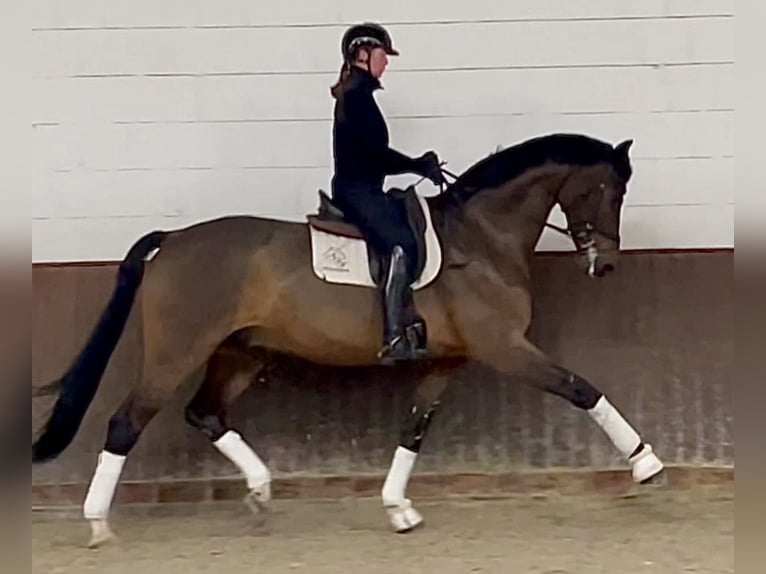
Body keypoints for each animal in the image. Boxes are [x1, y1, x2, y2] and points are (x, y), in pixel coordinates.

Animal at [31, 132, 664, 548]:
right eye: (606, 190)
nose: (606, 264)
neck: (481, 238)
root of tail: (175, 240)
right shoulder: (505, 347)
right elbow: (581, 389)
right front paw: (646, 464)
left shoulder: (449, 361)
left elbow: (414, 427)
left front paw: (398, 508)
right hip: (176, 352)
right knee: (126, 423)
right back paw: (98, 524)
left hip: (240, 352)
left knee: (204, 414)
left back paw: (261, 491)